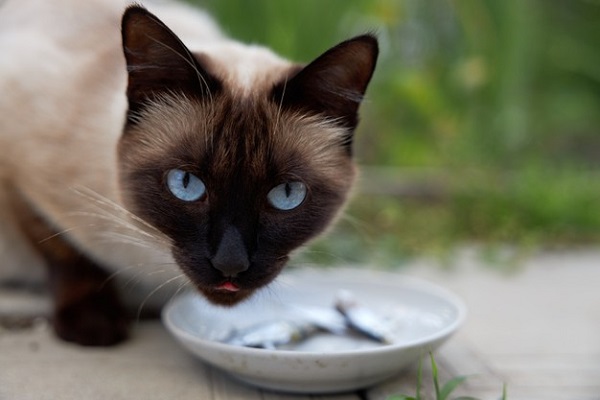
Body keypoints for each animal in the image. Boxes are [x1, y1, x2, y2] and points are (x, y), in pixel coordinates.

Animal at [0, 0, 376, 346]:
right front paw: (95, 326)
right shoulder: (18, 169)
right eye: (185, 185)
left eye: (286, 195)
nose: (230, 265)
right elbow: (64, 252)